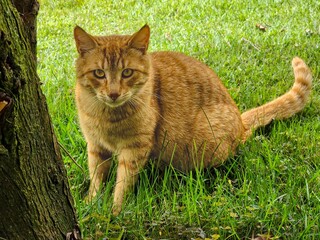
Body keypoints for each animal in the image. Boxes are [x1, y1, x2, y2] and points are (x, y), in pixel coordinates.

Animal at [74, 23, 312, 216]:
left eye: (127, 72)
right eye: (99, 73)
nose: (113, 93)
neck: (106, 115)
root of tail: (240, 122)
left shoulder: (134, 150)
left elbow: (122, 184)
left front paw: (115, 211)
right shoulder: (95, 147)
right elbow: (96, 178)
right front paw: (90, 203)